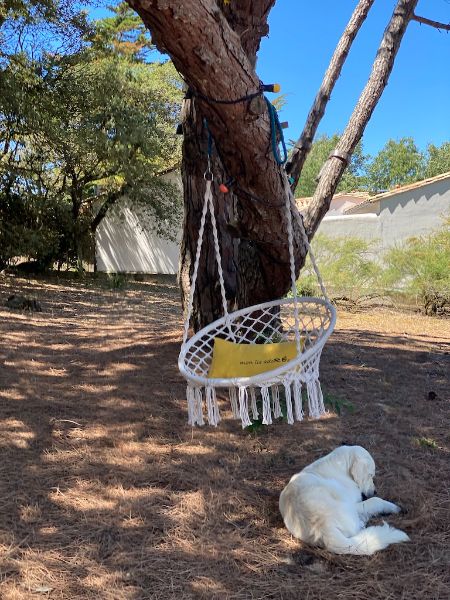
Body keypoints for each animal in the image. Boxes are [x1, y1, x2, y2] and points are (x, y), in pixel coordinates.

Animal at [280, 446, 410, 556]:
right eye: (370, 475)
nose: (375, 491)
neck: (341, 468)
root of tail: (323, 528)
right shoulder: (356, 503)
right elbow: (375, 501)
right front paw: (394, 507)